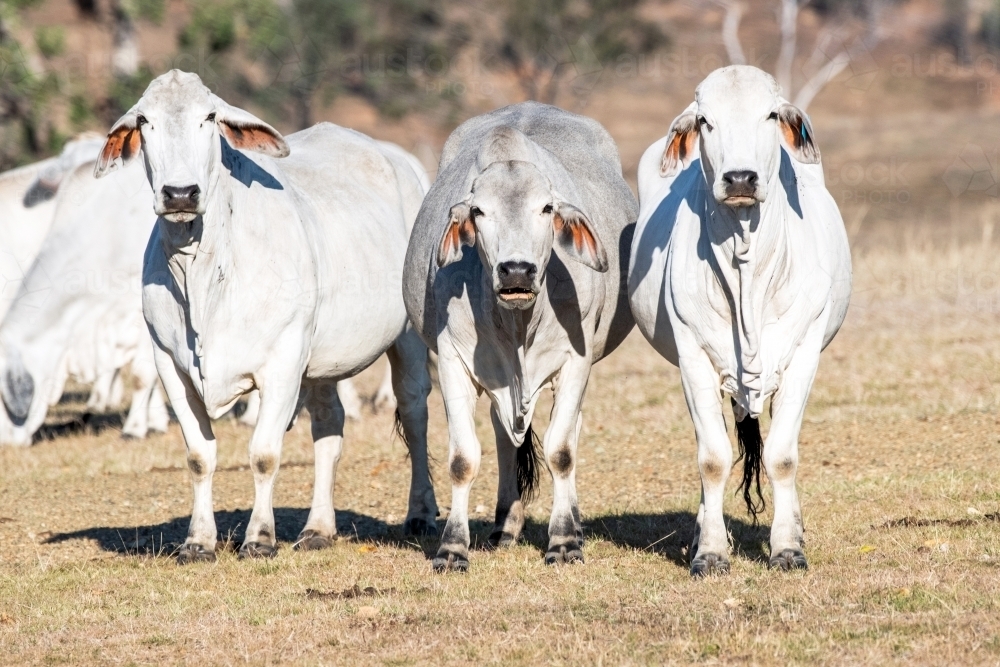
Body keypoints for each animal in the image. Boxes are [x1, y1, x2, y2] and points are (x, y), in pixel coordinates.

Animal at [94, 72, 438, 564]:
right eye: (144, 120)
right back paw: (318, 528)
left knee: (414, 413)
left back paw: (422, 514)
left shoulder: (282, 363)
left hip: (406, 339)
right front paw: (198, 541)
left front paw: (259, 537)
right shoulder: (170, 365)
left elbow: (263, 454)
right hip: (321, 361)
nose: (180, 194)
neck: (204, 275)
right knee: (329, 426)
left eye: (210, 116)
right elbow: (199, 457)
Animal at [404, 102, 632, 572]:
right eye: (478, 211)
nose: (516, 271)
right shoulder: (453, 362)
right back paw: (505, 524)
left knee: (569, 433)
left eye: (546, 208)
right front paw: (452, 549)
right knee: (502, 435)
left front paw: (564, 542)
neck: (518, 324)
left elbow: (562, 451)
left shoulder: (576, 361)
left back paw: (572, 523)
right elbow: (462, 459)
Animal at [628, 69, 848, 580]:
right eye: (706, 121)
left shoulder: (803, 355)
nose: (741, 178)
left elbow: (782, 456)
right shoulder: (693, 359)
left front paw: (788, 549)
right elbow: (712, 458)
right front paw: (709, 553)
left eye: (770, 114)